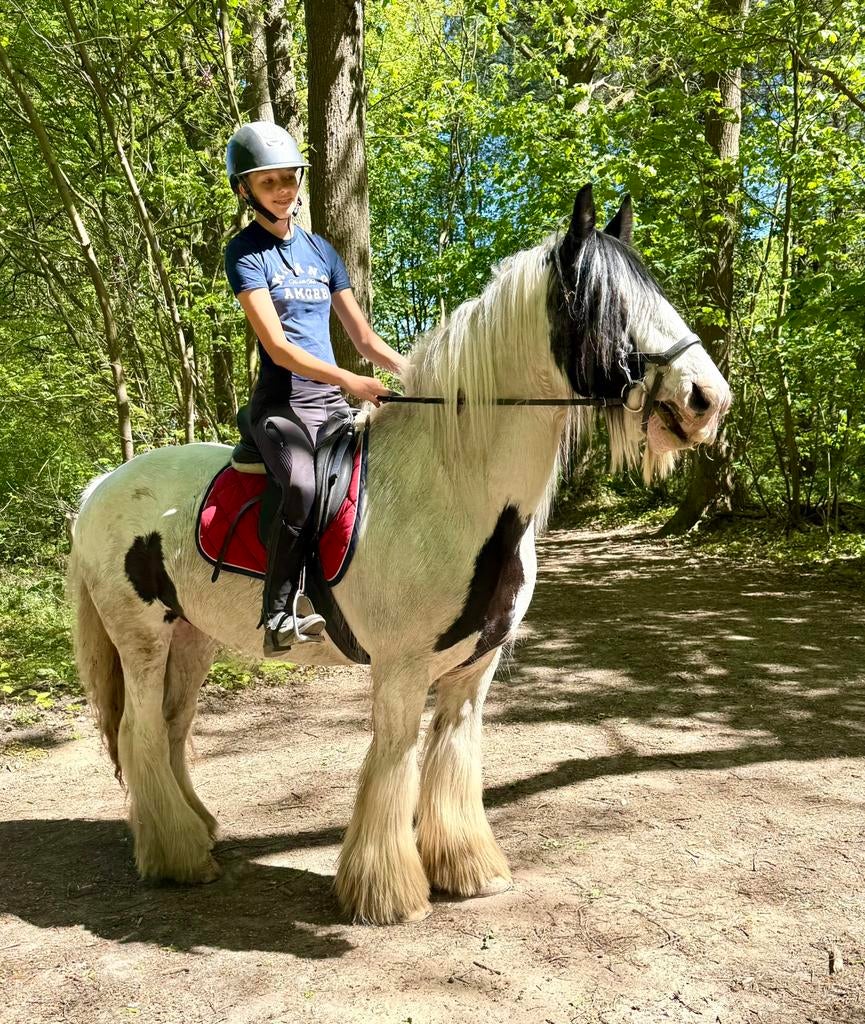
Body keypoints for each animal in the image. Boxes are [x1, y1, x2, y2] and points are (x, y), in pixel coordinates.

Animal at [67, 185, 730, 925]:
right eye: (602, 302)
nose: (706, 399)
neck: (454, 489)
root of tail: (101, 486)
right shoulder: (400, 668)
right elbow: (392, 762)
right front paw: (387, 893)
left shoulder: (474, 669)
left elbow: (452, 758)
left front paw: (469, 869)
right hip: (143, 637)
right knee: (141, 732)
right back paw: (176, 857)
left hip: (192, 636)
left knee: (172, 727)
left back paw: (195, 830)